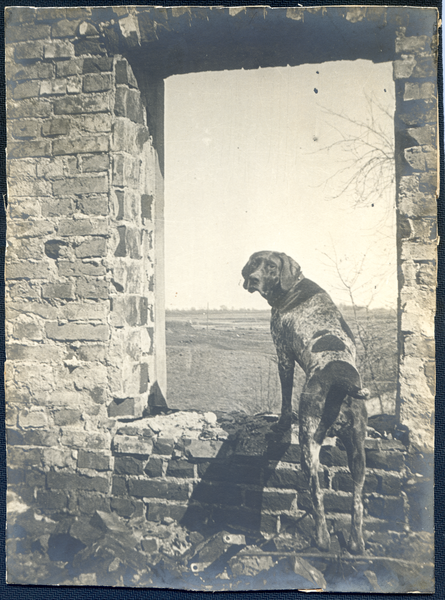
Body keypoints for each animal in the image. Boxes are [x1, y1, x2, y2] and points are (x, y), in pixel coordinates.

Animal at [243, 250, 368, 552]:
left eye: (271, 266)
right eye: (254, 263)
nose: (253, 279)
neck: (294, 287)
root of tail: (342, 383)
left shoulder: (283, 355)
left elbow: (285, 400)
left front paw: (280, 422)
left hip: (308, 442)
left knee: (317, 494)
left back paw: (321, 539)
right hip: (358, 453)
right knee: (357, 502)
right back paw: (355, 542)